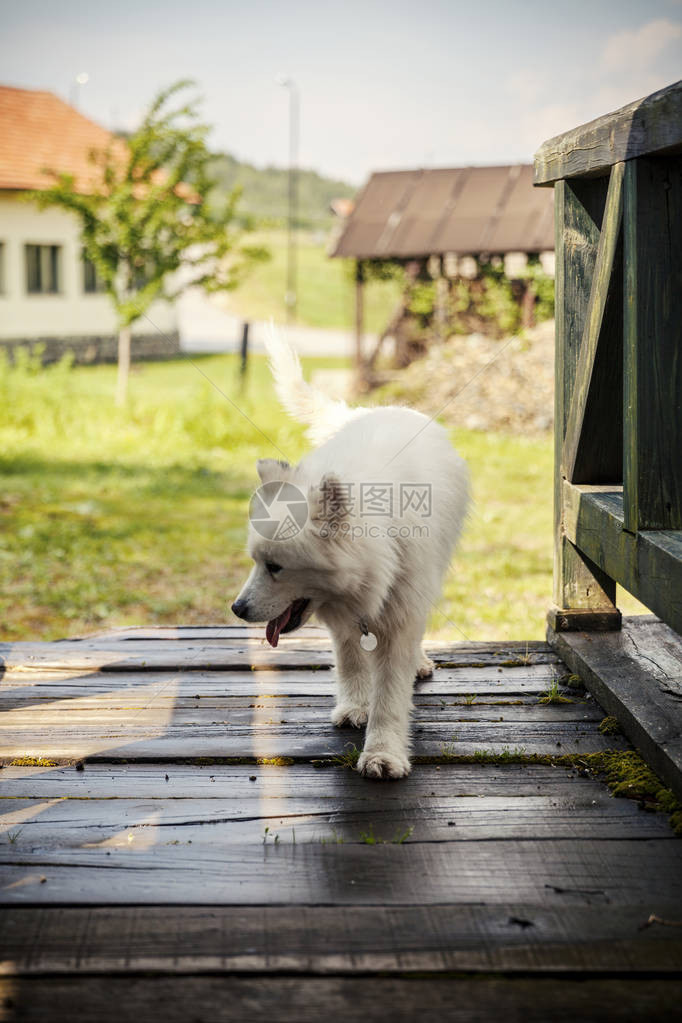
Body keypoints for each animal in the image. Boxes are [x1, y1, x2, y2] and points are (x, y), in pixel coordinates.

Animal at [231, 331, 470, 777]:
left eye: (276, 567)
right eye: (255, 562)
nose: (236, 609)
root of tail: (376, 409)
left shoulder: (401, 614)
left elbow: (390, 695)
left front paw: (383, 754)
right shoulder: (342, 618)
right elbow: (349, 660)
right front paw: (355, 705)